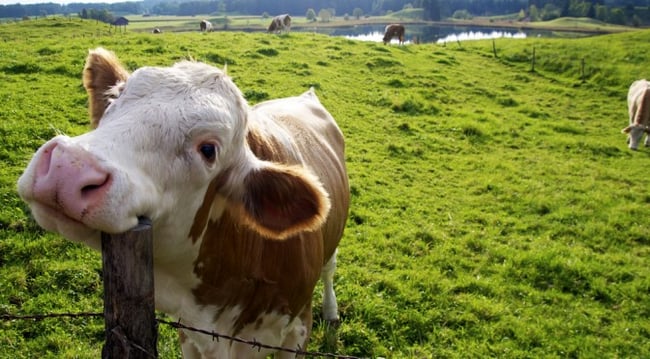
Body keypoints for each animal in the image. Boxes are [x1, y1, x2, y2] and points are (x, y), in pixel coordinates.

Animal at [16, 48, 350, 359]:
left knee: (330, 268)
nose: (68, 168)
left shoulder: (298, 328)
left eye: (208, 149)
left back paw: (331, 311)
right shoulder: (191, 335)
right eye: (115, 100)